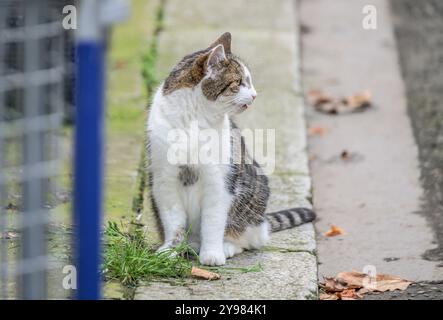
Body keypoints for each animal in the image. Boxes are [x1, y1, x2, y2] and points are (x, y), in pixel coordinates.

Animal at [147, 32, 316, 266]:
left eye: (249, 81)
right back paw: (189, 246)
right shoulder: (164, 182)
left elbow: (213, 222)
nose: (254, 95)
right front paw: (170, 251)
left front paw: (212, 254)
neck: (193, 121)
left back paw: (225, 246)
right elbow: (174, 223)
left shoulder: (219, 182)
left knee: (247, 238)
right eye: (238, 82)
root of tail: (263, 222)